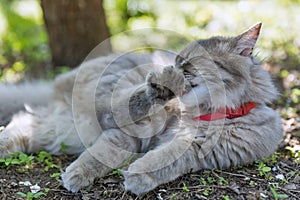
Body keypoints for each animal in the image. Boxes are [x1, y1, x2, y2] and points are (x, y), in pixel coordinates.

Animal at [0, 22, 282, 195]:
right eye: (177, 59)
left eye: (189, 61)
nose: (175, 66)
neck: (211, 113)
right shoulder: (134, 131)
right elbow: (102, 155)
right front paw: (78, 174)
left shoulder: (197, 151)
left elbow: (163, 160)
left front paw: (138, 177)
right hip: (108, 96)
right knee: (117, 105)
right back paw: (161, 86)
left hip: (66, 132)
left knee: (25, 120)